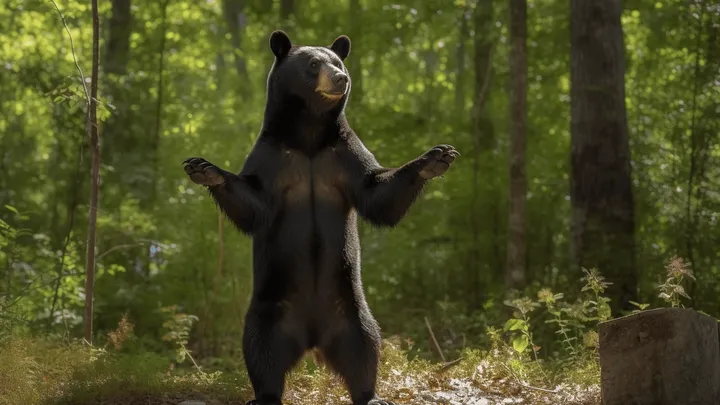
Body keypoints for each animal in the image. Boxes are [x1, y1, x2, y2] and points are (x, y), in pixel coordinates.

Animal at [183, 30, 459, 405]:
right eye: (314, 64)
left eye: (338, 62)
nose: (341, 79)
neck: (309, 136)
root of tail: (312, 338)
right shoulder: (273, 156)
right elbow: (254, 205)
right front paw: (204, 168)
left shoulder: (344, 154)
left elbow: (377, 194)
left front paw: (437, 157)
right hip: (271, 308)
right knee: (260, 348)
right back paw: (265, 394)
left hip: (350, 310)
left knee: (364, 347)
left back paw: (370, 394)